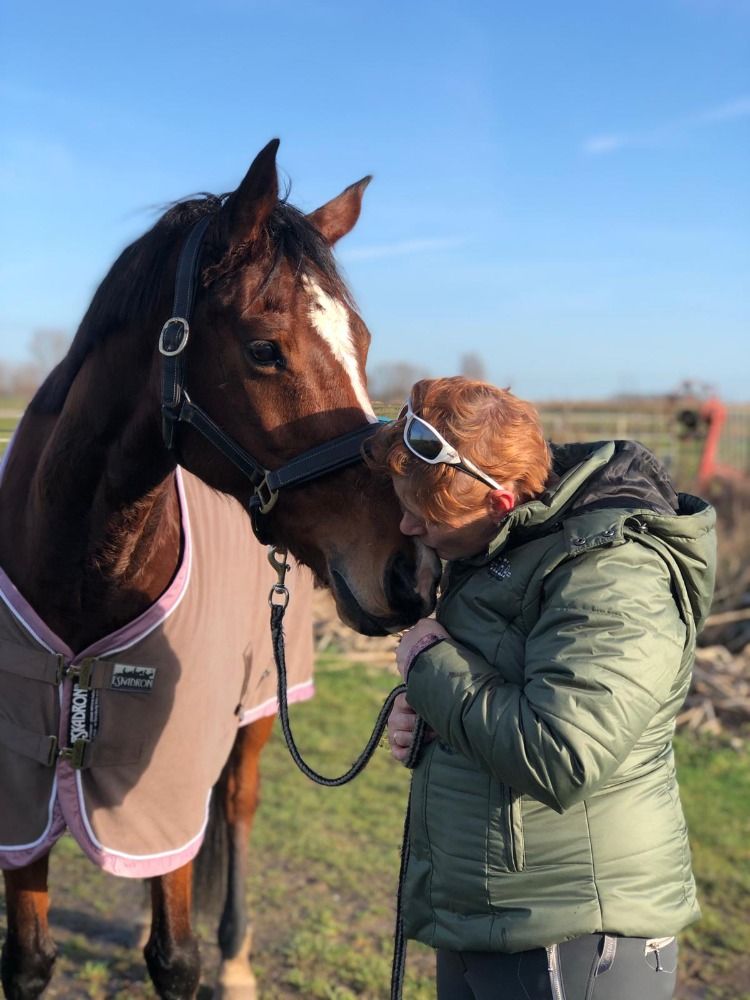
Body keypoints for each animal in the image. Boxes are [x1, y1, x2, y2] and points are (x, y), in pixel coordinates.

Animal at [0, 139, 440, 1000]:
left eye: (364, 343)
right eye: (264, 349)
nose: (408, 570)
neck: (73, 568)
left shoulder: (166, 769)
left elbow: (178, 958)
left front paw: (205, 955)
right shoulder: (20, 792)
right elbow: (29, 959)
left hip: (258, 706)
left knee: (235, 807)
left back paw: (236, 954)